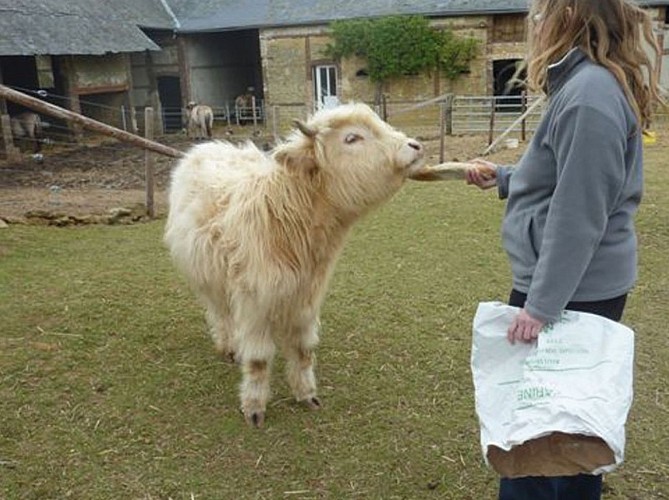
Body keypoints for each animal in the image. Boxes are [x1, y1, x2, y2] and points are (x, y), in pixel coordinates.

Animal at [164, 103, 422, 428]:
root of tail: (207, 147)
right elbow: (258, 360)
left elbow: (302, 351)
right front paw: (254, 408)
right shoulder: (255, 302)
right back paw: (229, 346)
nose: (415, 145)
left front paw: (307, 394)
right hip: (208, 280)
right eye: (352, 138)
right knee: (220, 315)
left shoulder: (305, 300)